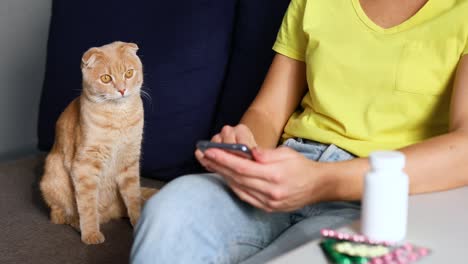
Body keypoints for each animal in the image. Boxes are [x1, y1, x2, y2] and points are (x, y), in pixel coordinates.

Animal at [38, 41, 155, 245]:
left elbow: (133, 198)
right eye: (106, 78)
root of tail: (110, 214)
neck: (118, 116)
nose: (122, 89)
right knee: (58, 214)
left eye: (129, 73)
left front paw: (139, 222)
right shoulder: (84, 166)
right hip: (52, 176)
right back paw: (75, 221)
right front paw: (91, 233)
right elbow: (87, 205)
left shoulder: (129, 162)